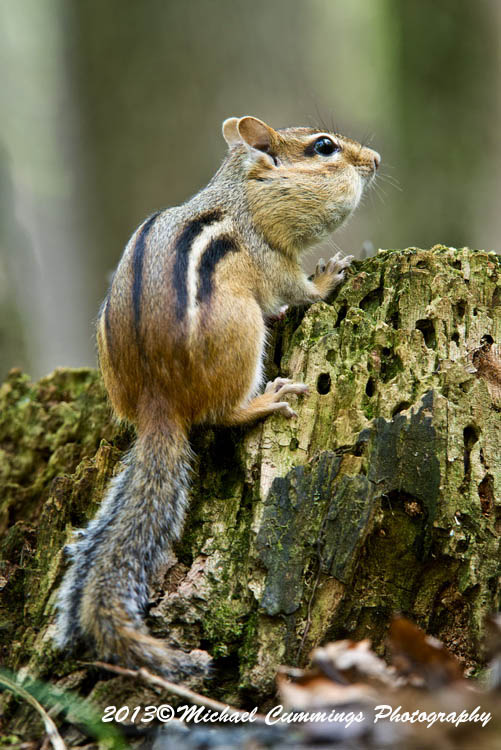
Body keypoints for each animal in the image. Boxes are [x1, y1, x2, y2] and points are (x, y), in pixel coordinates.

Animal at [54, 116, 380, 677]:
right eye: (324, 148)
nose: (376, 160)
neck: (242, 199)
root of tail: (157, 404)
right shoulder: (271, 260)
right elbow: (299, 291)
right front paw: (329, 275)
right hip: (243, 329)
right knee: (224, 414)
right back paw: (266, 398)